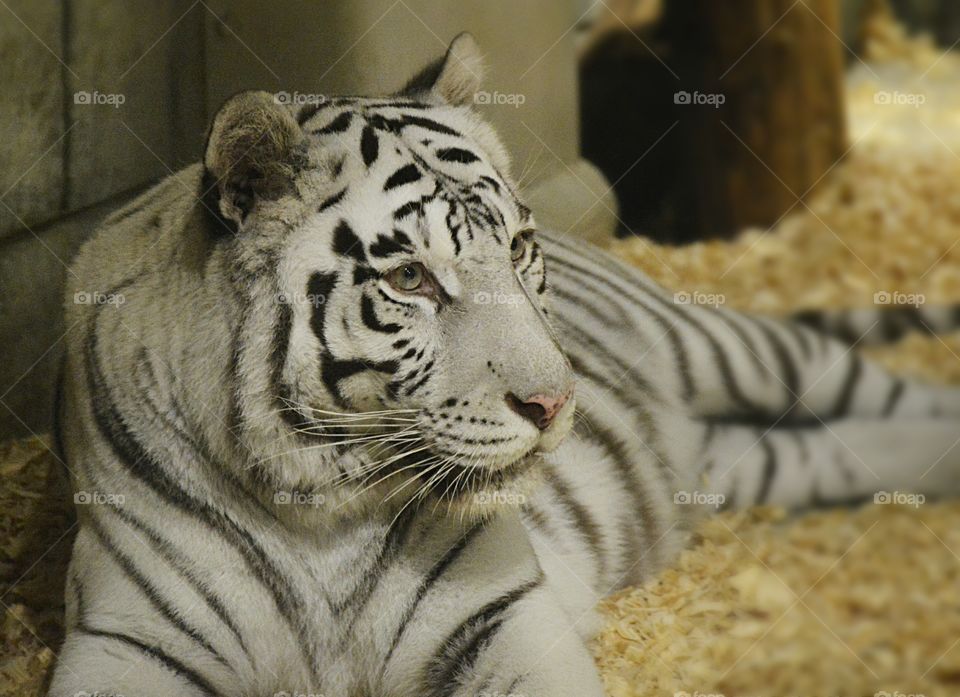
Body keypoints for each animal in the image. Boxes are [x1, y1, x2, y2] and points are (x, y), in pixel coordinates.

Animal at [48, 33, 960, 697]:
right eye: (410, 279)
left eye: (519, 248)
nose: (555, 402)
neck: (317, 517)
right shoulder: (125, 643)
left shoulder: (500, 614)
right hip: (743, 462)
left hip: (732, 348)